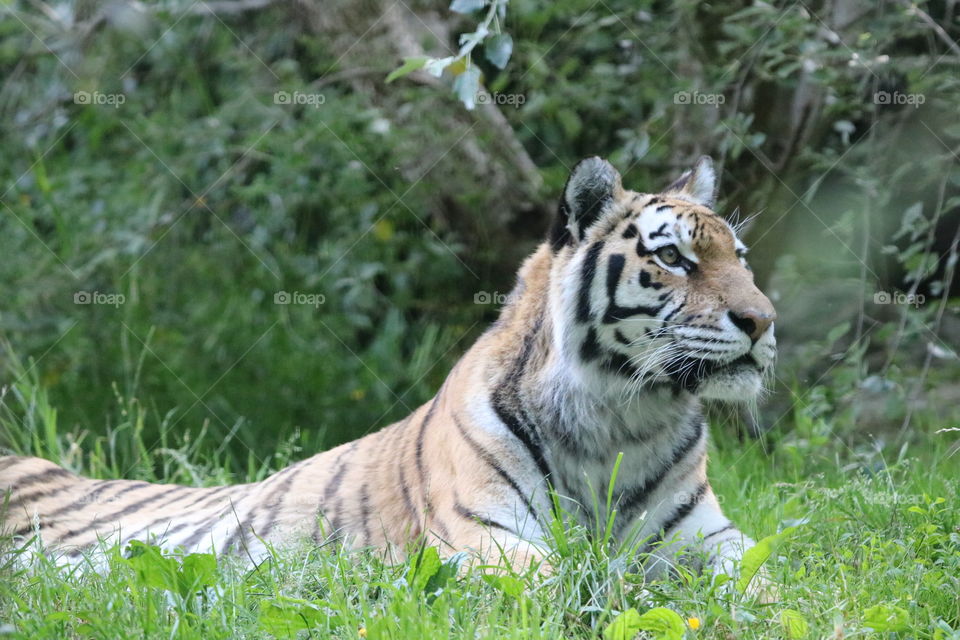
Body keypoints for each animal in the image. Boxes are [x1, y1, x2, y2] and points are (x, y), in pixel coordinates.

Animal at [1, 156, 776, 582]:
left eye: (739, 257)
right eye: (672, 258)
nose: (763, 321)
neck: (623, 417)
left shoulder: (712, 541)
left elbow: (769, 580)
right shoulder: (486, 537)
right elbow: (567, 581)